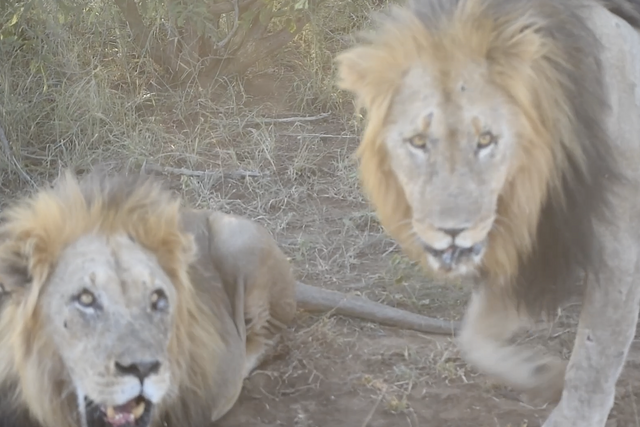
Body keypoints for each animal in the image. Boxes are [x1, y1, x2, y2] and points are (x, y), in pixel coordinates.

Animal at [335, 0, 640, 425]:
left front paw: (574, 415)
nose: (452, 232)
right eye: (418, 141)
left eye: (486, 140)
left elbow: (595, 358)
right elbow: (471, 339)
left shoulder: (620, 249)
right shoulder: (533, 245)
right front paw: (538, 373)